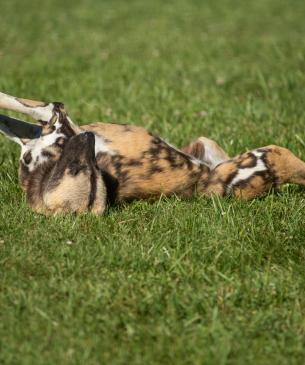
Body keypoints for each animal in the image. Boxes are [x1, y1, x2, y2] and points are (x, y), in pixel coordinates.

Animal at [0, 91, 304, 215]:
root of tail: (207, 181)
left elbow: (11, 108)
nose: (88, 139)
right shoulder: (47, 123)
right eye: (80, 169)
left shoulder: (49, 120)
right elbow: (13, 112)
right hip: (246, 153)